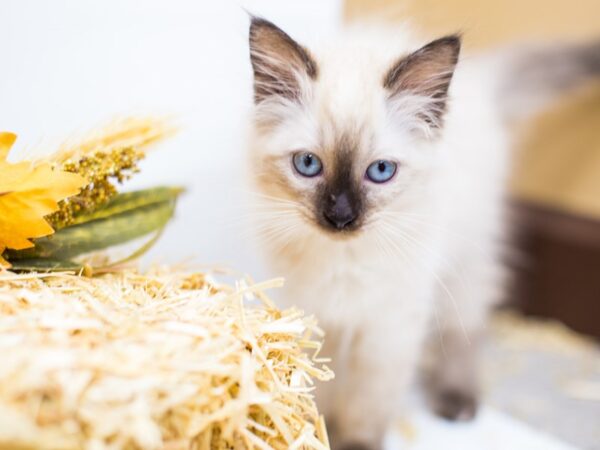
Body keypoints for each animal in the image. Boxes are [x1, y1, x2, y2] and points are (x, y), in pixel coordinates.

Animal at [245, 17, 600, 450]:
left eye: (381, 171)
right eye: (308, 164)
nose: (341, 217)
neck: (345, 263)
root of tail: (480, 80)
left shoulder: (389, 326)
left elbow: (367, 403)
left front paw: (354, 442)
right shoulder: (316, 314)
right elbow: (319, 388)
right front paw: (315, 431)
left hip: (467, 260)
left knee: (465, 328)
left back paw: (457, 403)